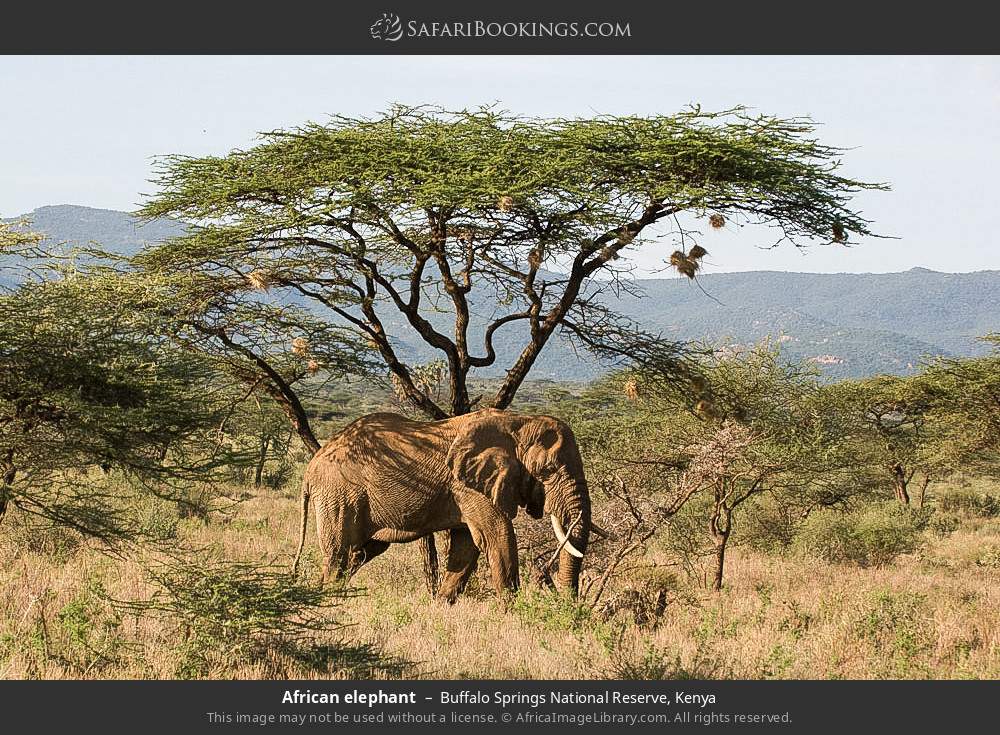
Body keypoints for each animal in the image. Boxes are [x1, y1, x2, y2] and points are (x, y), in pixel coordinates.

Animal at [291, 408, 593, 602]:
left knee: (360, 553)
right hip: (340, 494)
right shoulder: (468, 485)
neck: (519, 421)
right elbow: (497, 536)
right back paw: (329, 603)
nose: (567, 606)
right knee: (339, 554)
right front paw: (515, 614)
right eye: (548, 470)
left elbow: (466, 547)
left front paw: (440, 607)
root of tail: (311, 467)